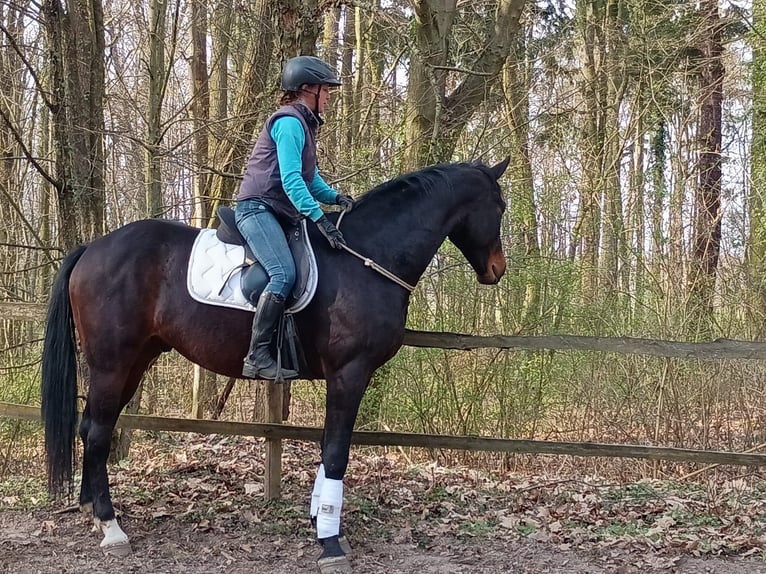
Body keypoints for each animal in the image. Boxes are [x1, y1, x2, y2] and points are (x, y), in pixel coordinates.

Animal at [41, 158, 509, 572]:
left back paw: (90, 507)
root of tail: (93, 247)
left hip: (135, 360)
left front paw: (320, 519)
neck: (365, 257)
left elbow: (327, 448)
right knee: (98, 432)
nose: (497, 270)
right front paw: (330, 542)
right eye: (501, 206)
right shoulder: (350, 372)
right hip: (113, 362)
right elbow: (336, 452)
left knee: (91, 425)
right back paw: (110, 525)